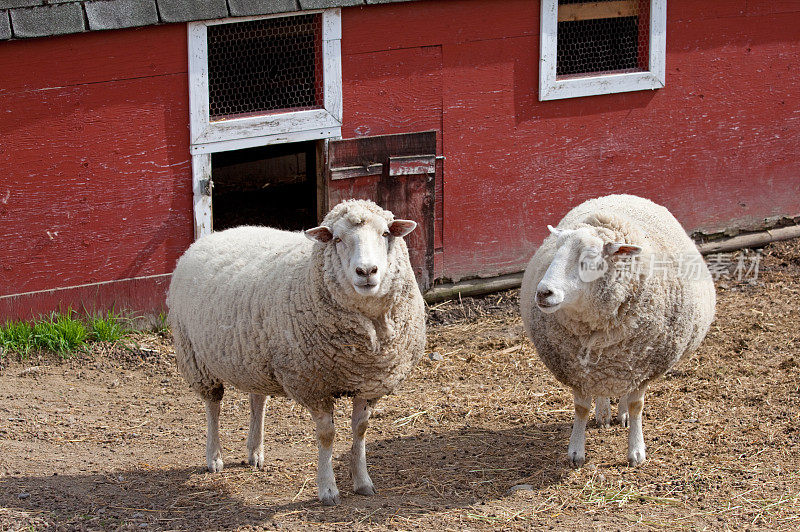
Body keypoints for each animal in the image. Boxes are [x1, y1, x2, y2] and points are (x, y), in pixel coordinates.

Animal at [166, 198, 428, 502]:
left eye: (386, 233)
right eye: (337, 239)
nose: (366, 272)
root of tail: (216, 234)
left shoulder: (370, 383)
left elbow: (360, 430)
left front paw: (363, 481)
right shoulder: (312, 385)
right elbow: (327, 435)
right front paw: (328, 489)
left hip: (254, 358)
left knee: (257, 401)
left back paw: (255, 452)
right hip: (195, 356)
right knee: (212, 406)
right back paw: (214, 457)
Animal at [520, 194, 716, 466]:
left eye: (590, 258)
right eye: (555, 253)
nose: (543, 293)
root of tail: (621, 195)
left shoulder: (644, 367)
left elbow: (636, 406)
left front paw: (636, 450)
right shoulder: (576, 370)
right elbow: (581, 408)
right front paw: (576, 451)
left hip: (628, 365)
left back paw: (620, 413)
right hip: (599, 368)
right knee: (602, 388)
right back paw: (603, 413)